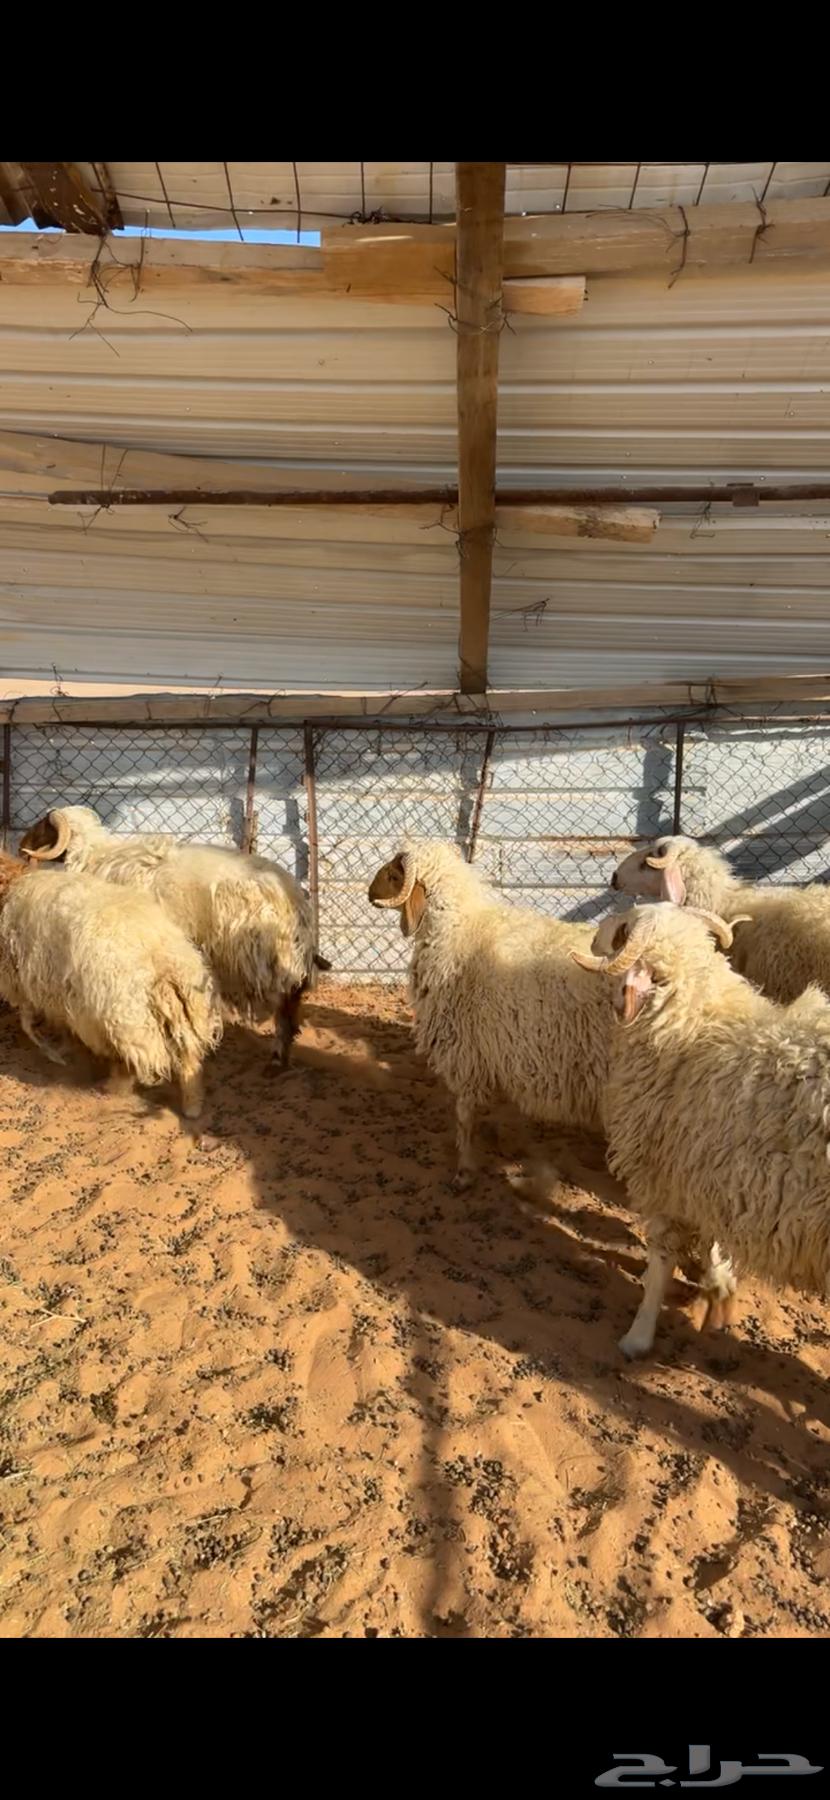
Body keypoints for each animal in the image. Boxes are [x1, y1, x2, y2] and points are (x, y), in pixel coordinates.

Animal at [0, 852, 222, 1117]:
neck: (12, 885)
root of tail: (165, 964)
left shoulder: (23, 981)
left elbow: (29, 1024)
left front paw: (55, 1052)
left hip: (124, 1022)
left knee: (130, 1065)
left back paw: (111, 1088)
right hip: (187, 1019)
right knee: (190, 1061)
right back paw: (192, 1107)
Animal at [19, 805, 330, 1069]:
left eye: (43, 826)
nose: (22, 848)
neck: (95, 856)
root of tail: (295, 902)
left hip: (261, 958)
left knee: (284, 1003)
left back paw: (277, 1055)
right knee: (292, 1001)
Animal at [571, 902, 830, 1360]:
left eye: (623, 930)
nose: (594, 935)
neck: (695, 1027)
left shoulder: (667, 1176)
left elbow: (661, 1261)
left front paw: (638, 1336)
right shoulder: (709, 1176)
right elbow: (711, 1239)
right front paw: (719, 1282)